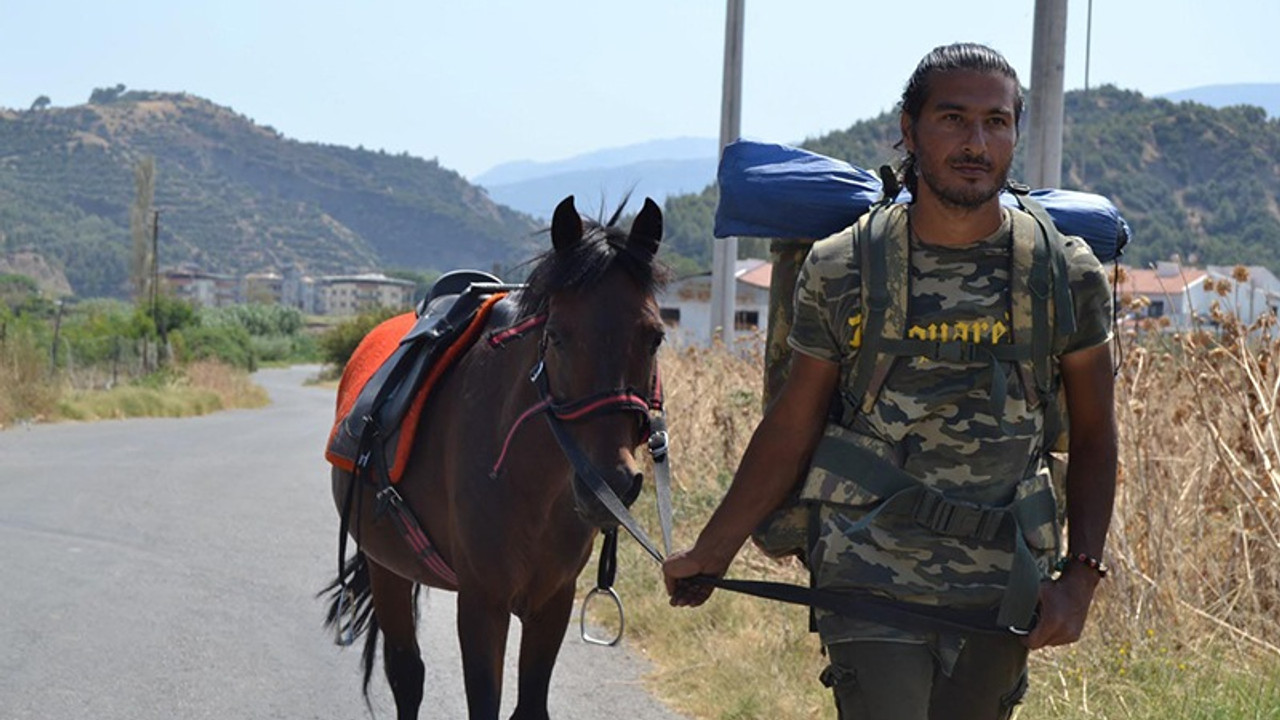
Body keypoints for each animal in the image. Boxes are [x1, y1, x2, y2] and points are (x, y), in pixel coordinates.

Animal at [322, 196, 670, 717]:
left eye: (655, 336)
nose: (608, 482)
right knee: (406, 673)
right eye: (556, 335)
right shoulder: (482, 602)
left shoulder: (553, 601)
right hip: (387, 568)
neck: (529, 480)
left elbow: (530, 706)